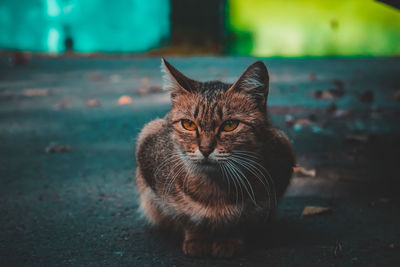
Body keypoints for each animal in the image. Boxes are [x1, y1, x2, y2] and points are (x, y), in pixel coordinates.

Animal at [136, 57, 296, 258]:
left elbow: (241, 221)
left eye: (230, 125)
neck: (214, 188)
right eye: (188, 124)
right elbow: (186, 218)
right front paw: (197, 239)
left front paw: (229, 240)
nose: (205, 149)